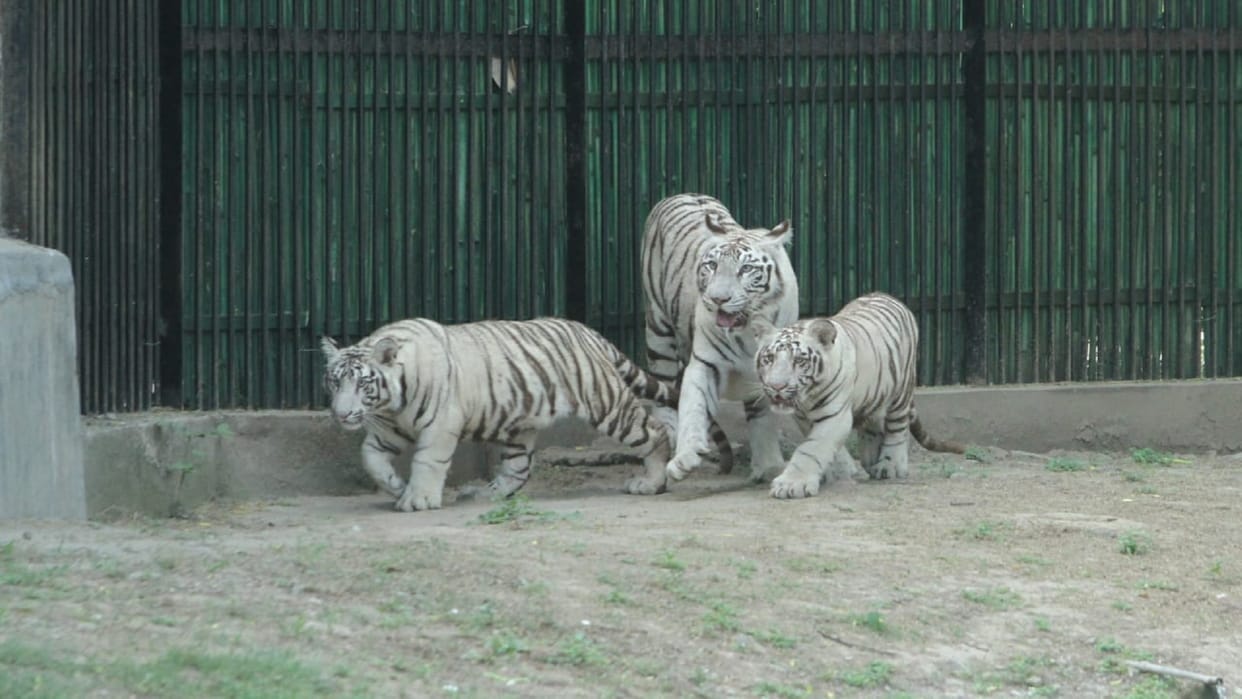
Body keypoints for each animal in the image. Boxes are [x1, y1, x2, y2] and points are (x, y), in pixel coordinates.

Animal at [320, 317, 681, 511]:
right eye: (335, 381)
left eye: (362, 383)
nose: (342, 414)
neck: (391, 406)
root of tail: (586, 330)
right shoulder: (386, 432)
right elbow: (371, 459)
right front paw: (397, 486)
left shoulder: (440, 425)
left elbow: (427, 461)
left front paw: (417, 499)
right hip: (518, 426)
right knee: (518, 469)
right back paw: (483, 494)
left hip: (607, 404)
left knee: (654, 431)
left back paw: (651, 483)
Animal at [641, 193, 799, 488]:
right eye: (712, 266)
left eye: (746, 269)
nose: (718, 299)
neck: (747, 328)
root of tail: (682, 194)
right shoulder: (705, 364)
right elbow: (694, 406)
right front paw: (686, 457)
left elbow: (763, 418)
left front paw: (769, 465)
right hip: (657, 328)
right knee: (664, 389)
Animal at [751, 292, 965, 499]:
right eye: (769, 358)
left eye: (799, 360)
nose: (776, 386)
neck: (806, 400)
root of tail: (888, 296)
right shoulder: (803, 418)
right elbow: (824, 447)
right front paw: (839, 471)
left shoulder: (835, 416)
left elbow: (811, 449)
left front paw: (791, 484)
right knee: (873, 425)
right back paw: (871, 457)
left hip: (901, 392)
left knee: (897, 429)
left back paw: (890, 465)